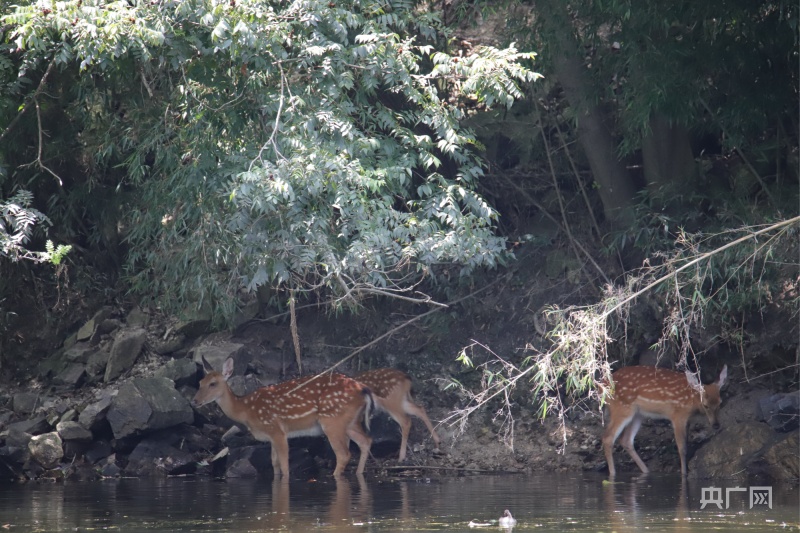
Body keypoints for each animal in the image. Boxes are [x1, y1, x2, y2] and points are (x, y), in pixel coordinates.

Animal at [192, 358, 374, 478]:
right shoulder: (271, 436)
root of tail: (363, 389)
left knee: (344, 454)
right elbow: (275, 463)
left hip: (332, 420)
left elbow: (285, 465)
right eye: (200, 382)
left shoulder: (277, 430)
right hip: (351, 422)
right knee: (366, 441)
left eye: (213, 384)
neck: (246, 410)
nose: (194, 401)